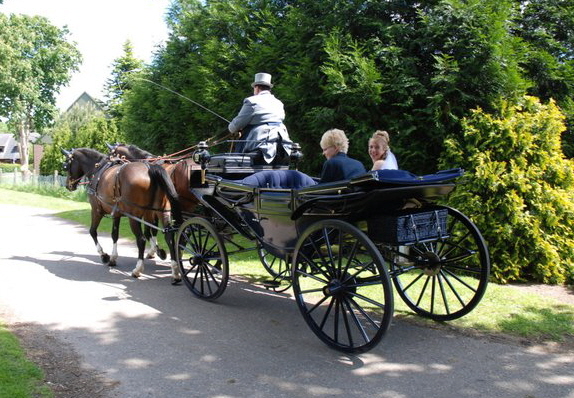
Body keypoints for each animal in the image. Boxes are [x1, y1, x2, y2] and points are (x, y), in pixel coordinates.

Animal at [61, 147, 182, 282]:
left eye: (66, 165)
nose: (68, 185)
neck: (97, 168)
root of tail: (150, 168)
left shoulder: (96, 210)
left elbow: (92, 231)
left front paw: (104, 255)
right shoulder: (117, 214)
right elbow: (114, 235)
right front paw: (113, 258)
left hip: (134, 216)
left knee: (141, 239)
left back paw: (138, 269)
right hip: (161, 212)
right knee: (169, 237)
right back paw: (175, 271)